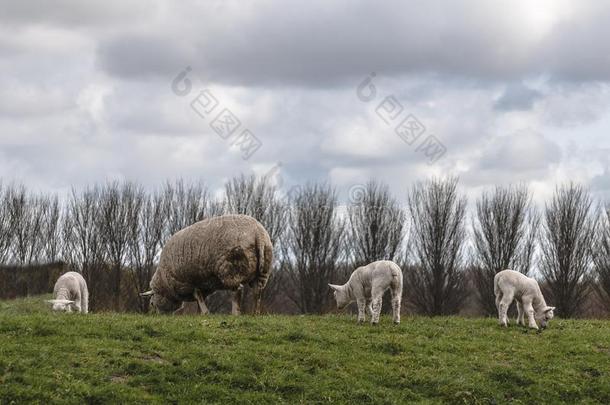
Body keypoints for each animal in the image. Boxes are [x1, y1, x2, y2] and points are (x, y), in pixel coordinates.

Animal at [139, 213, 272, 314]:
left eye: (152, 302)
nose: (158, 315)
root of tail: (258, 234)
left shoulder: (191, 282)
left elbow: (198, 297)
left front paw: (205, 313)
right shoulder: (204, 284)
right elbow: (201, 299)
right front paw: (200, 313)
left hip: (230, 269)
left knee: (237, 290)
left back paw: (235, 313)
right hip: (263, 271)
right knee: (258, 293)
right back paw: (255, 313)